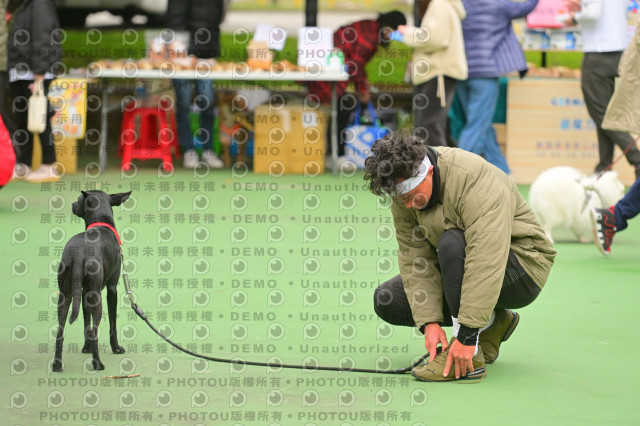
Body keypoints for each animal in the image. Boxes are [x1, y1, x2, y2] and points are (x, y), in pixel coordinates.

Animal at [52, 190, 131, 372]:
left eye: (79, 200)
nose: (73, 204)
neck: (100, 220)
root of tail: (78, 251)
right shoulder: (111, 289)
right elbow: (111, 323)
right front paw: (116, 348)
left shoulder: (83, 293)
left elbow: (85, 322)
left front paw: (86, 347)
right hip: (97, 298)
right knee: (96, 331)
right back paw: (98, 364)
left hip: (65, 295)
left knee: (60, 332)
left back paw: (57, 364)